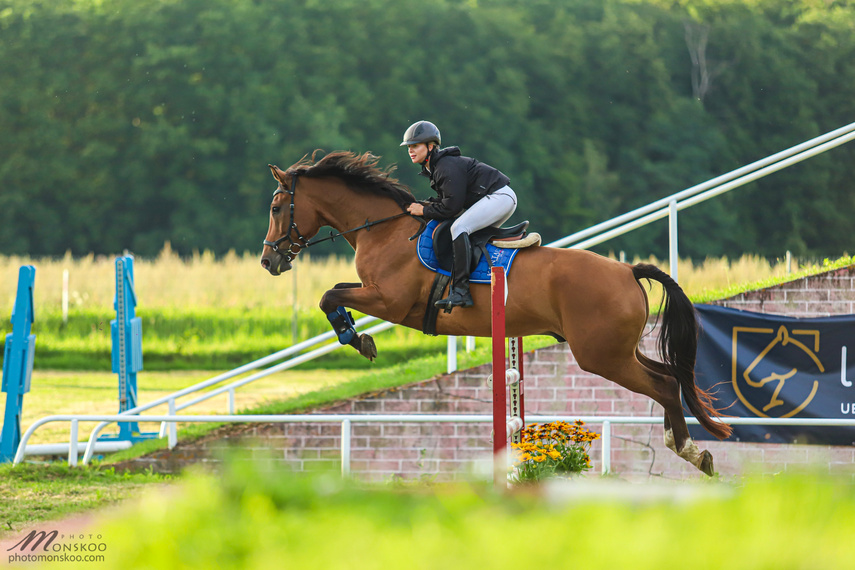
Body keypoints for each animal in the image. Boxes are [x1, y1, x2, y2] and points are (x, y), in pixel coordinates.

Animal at [258, 149, 732, 472]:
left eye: (277, 208)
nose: (268, 262)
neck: (386, 230)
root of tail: (628, 270)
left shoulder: (390, 301)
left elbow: (328, 296)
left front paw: (357, 340)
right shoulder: (374, 294)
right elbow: (336, 293)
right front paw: (358, 336)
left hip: (600, 356)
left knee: (665, 386)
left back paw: (690, 452)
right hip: (618, 350)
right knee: (669, 376)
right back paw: (687, 447)